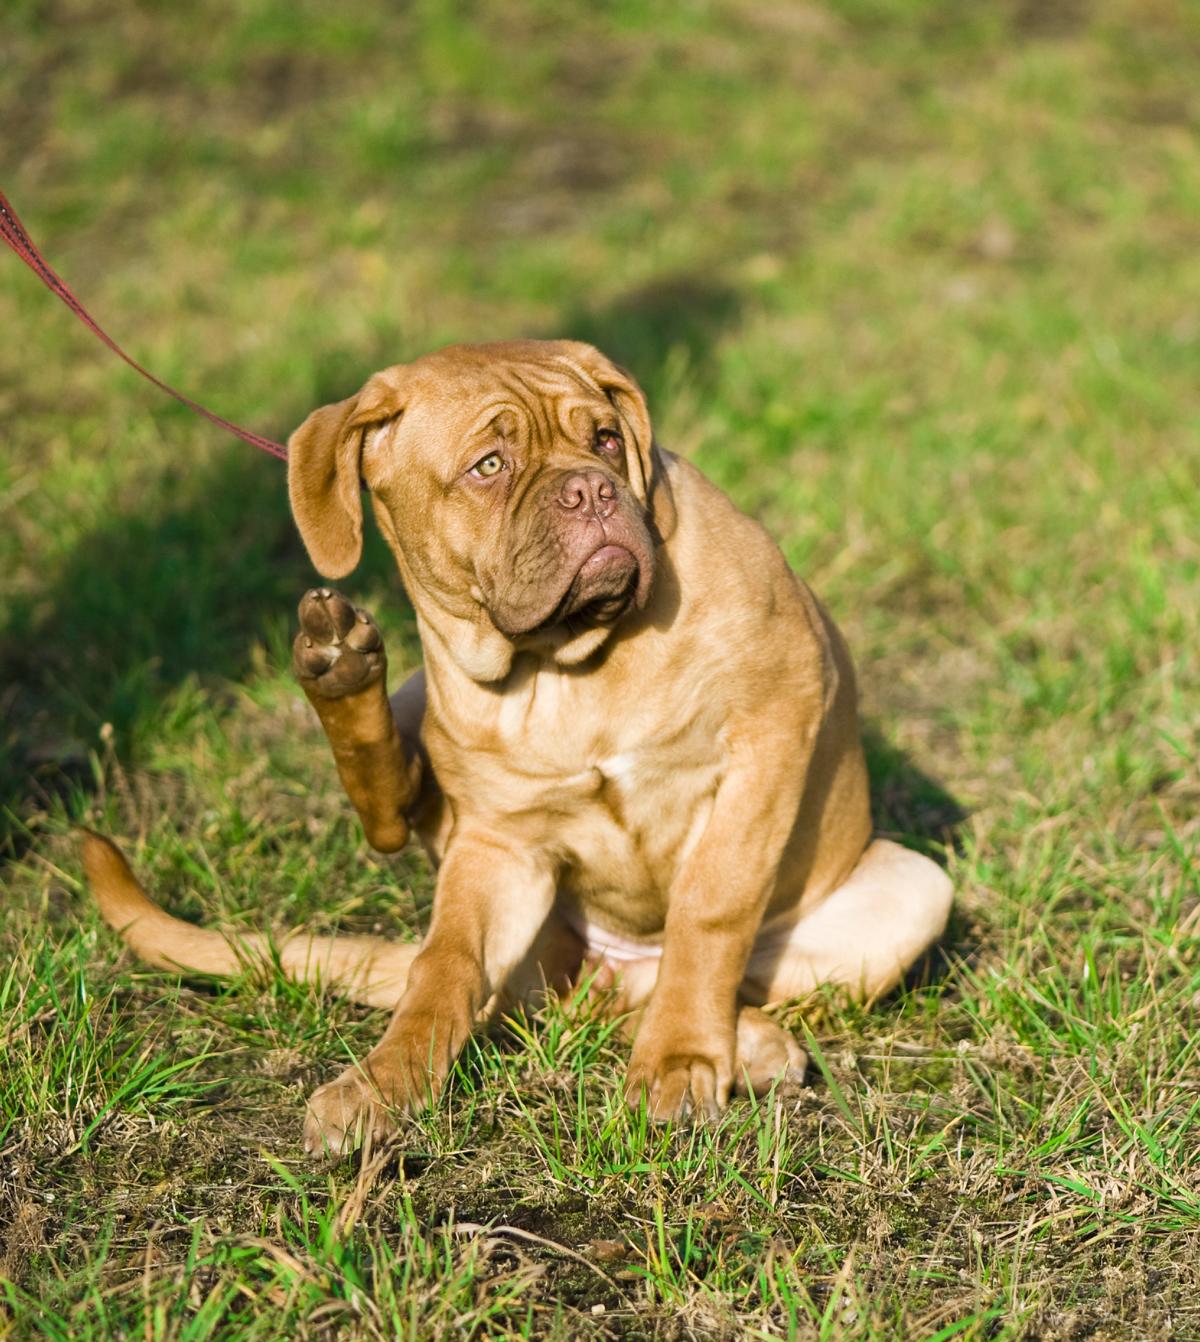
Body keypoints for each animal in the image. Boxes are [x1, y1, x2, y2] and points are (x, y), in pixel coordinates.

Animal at [79, 340, 955, 1159]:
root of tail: (596, 961)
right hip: (432, 724)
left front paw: (679, 1059)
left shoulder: (774, 724)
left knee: (637, 988)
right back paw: (337, 667)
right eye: (489, 466)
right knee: (411, 839)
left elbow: (712, 907)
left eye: (605, 439)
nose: (592, 490)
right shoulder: (499, 843)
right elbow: (445, 967)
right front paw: (383, 1085)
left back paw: (744, 1041)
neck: (564, 662)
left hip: (918, 888)